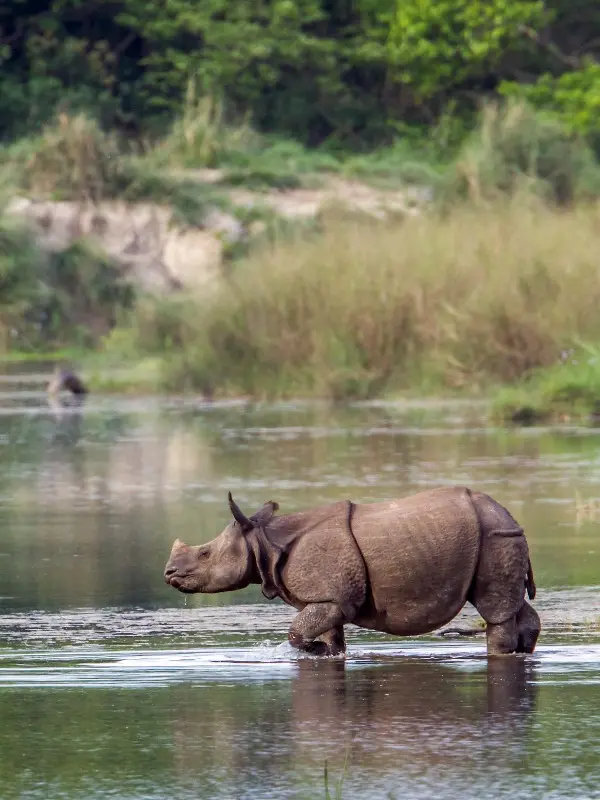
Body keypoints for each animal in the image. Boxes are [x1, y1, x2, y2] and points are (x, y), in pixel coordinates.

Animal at [164, 486, 541, 657]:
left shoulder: (331, 598)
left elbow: (297, 632)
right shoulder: (326, 595)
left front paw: (312, 650)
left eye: (205, 554)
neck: (263, 541)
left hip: (493, 536)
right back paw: (524, 649)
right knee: (513, 606)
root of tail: (508, 516)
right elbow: (329, 633)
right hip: (498, 535)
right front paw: (327, 652)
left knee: (494, 609)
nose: (168, 573)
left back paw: (500, 654)